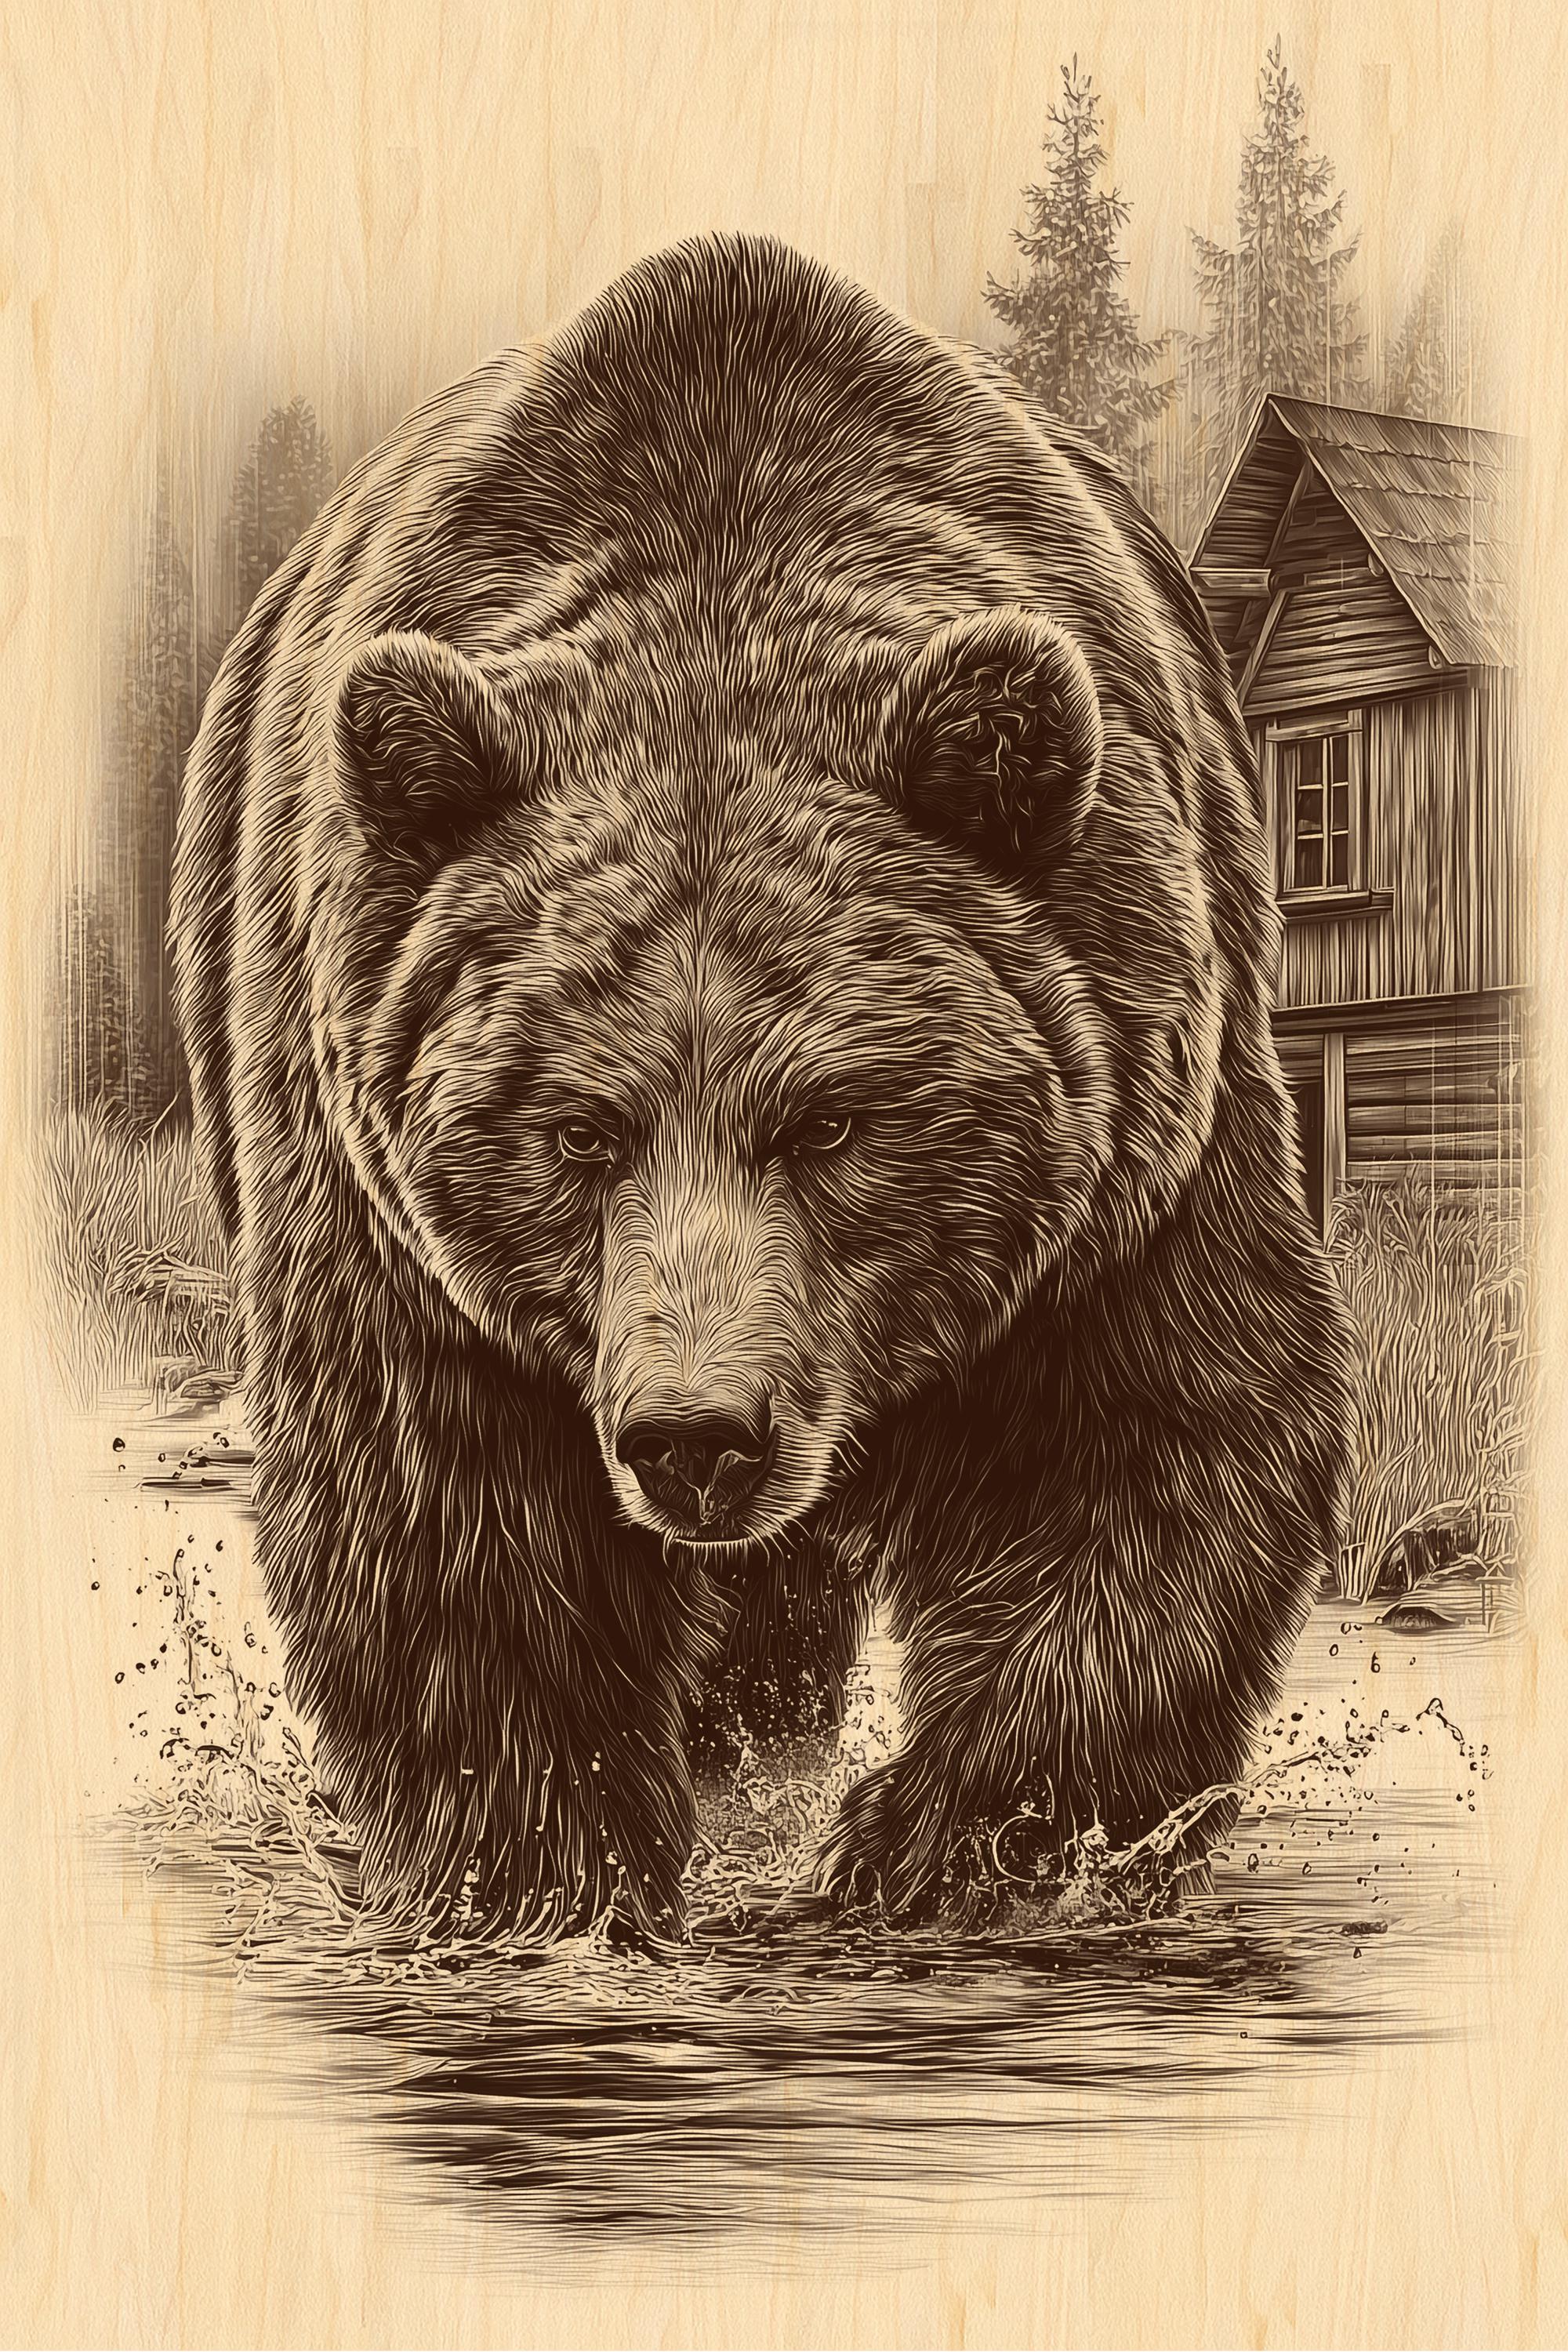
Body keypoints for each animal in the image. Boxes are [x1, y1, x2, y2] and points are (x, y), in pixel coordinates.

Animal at [172, 231, 1353, 1942]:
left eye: (837, 1118)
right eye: (577, 1128)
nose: (696, 1436)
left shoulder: (1133, 1133)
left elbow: (1144, 1451)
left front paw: (944, 1842)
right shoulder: (382, 1186)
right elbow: (443, 1513)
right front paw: (550, 1871)